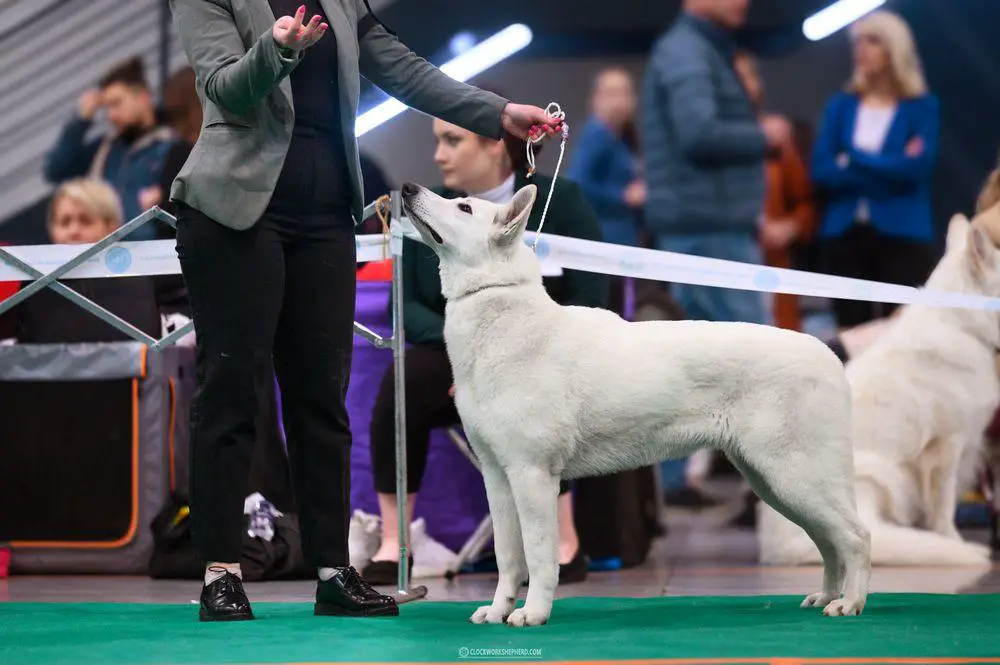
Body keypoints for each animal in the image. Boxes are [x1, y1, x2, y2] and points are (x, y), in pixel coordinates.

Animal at [398, 180, 868, 624]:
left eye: (464, 207)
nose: (406, 188)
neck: (498, 307)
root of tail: (830, 357)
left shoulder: (533, 475)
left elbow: (538, 555)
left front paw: (533, 613)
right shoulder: (497, 477)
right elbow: (507, 558)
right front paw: (498, 611)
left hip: (795, 475)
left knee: (856, 538)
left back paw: (850, 603)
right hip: (773, 483)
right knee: (830, 543)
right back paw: (826, 596)